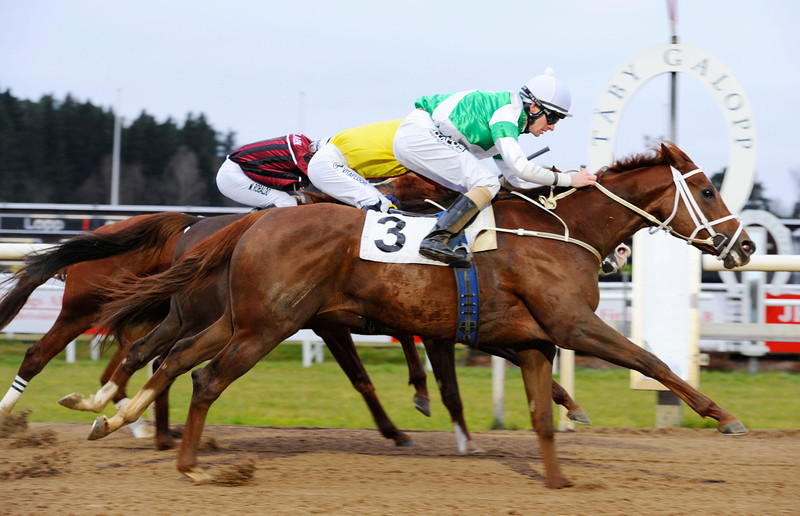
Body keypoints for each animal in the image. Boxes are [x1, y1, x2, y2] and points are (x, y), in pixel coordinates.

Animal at [89, 142, 756, 488]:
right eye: (709, 191)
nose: (745, 246)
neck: (565, 233)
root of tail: (255, 223)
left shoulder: (533, 340)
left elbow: (542, 414)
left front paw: (559, 480)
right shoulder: (571, 326)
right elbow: (652, 360)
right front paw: (724, 417)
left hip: (243, 319)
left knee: (173, 358)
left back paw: (115, 416)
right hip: (266, 327)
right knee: (202, 377)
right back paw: (187, 463)